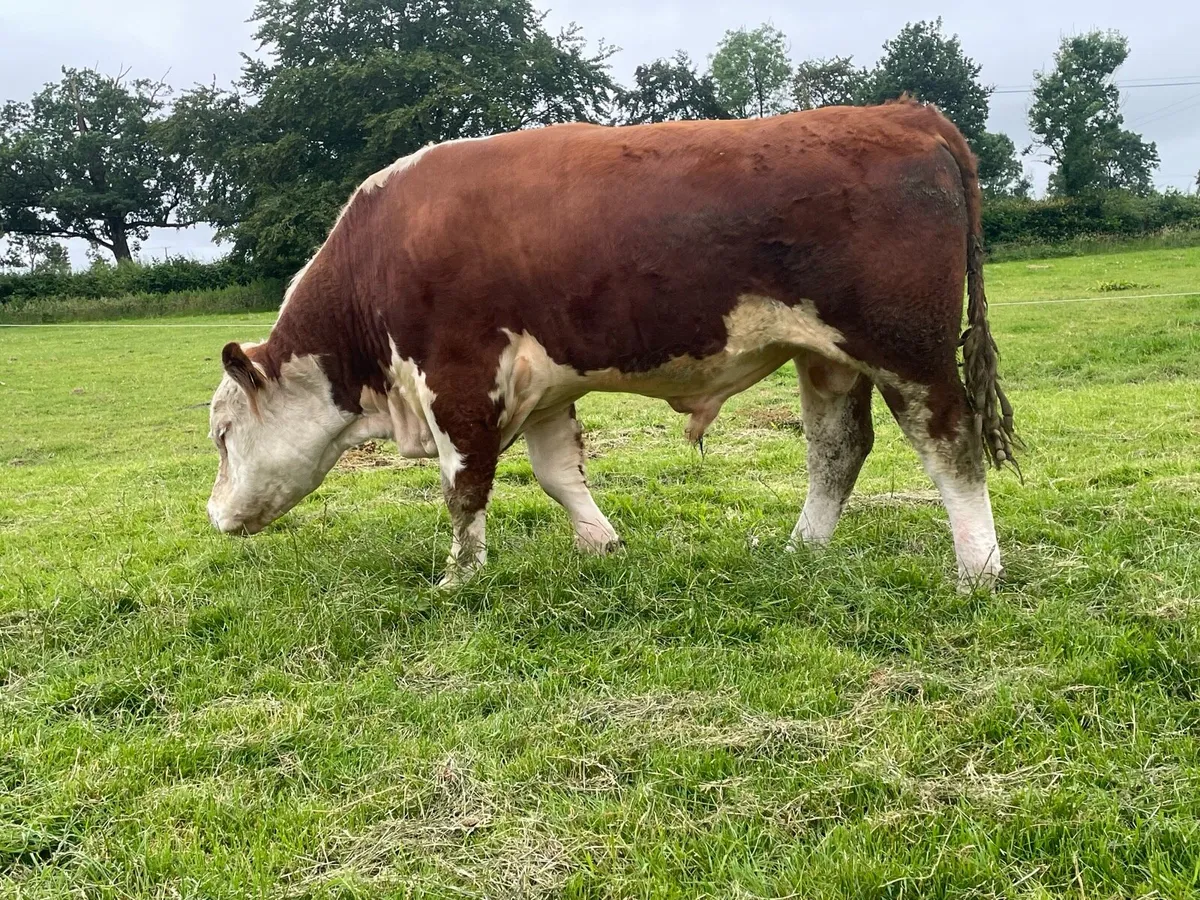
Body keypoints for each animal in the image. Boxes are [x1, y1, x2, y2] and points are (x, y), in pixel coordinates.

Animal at [207, 99, 1017, 591]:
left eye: (220, 435)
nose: (213, 518)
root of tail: (905, 113)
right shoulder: (540, 384)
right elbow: (557, 472)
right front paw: (601, 545)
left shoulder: (458, 378)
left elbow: (464, 487)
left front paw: (458, 579)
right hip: (828, 356)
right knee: (837, 449)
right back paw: (802, 551)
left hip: (905, 349)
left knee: (949, 439)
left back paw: (978, 569)